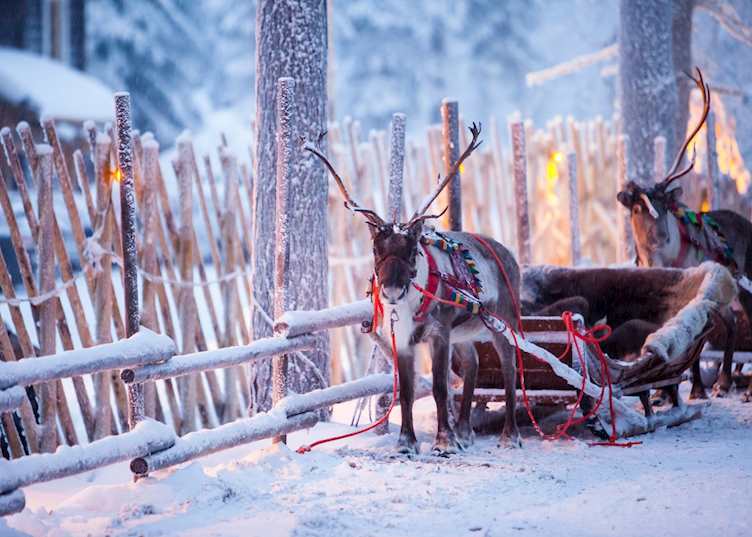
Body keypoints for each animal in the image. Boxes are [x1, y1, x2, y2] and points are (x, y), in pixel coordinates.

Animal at [303, 124, 523, 454]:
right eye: (376, 249)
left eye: (411, 250)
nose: (392, 291)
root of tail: (509, 254)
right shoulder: (403, 340)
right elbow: (406, 392)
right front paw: (407, 442)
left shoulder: (439, 332)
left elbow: (440, 387)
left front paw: (444, 441)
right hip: (464, 330)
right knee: (472, 362)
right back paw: (465, 431)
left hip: (503, 320)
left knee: (509, 366)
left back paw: (510, 434)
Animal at [616, 67, 752, 402]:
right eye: (637, 207)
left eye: (665, 205)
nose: (660, 237)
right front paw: (663, 391)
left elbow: (693, 342)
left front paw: (694, 389)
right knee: (731, 322)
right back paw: (723, 380)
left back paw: (731, 384)